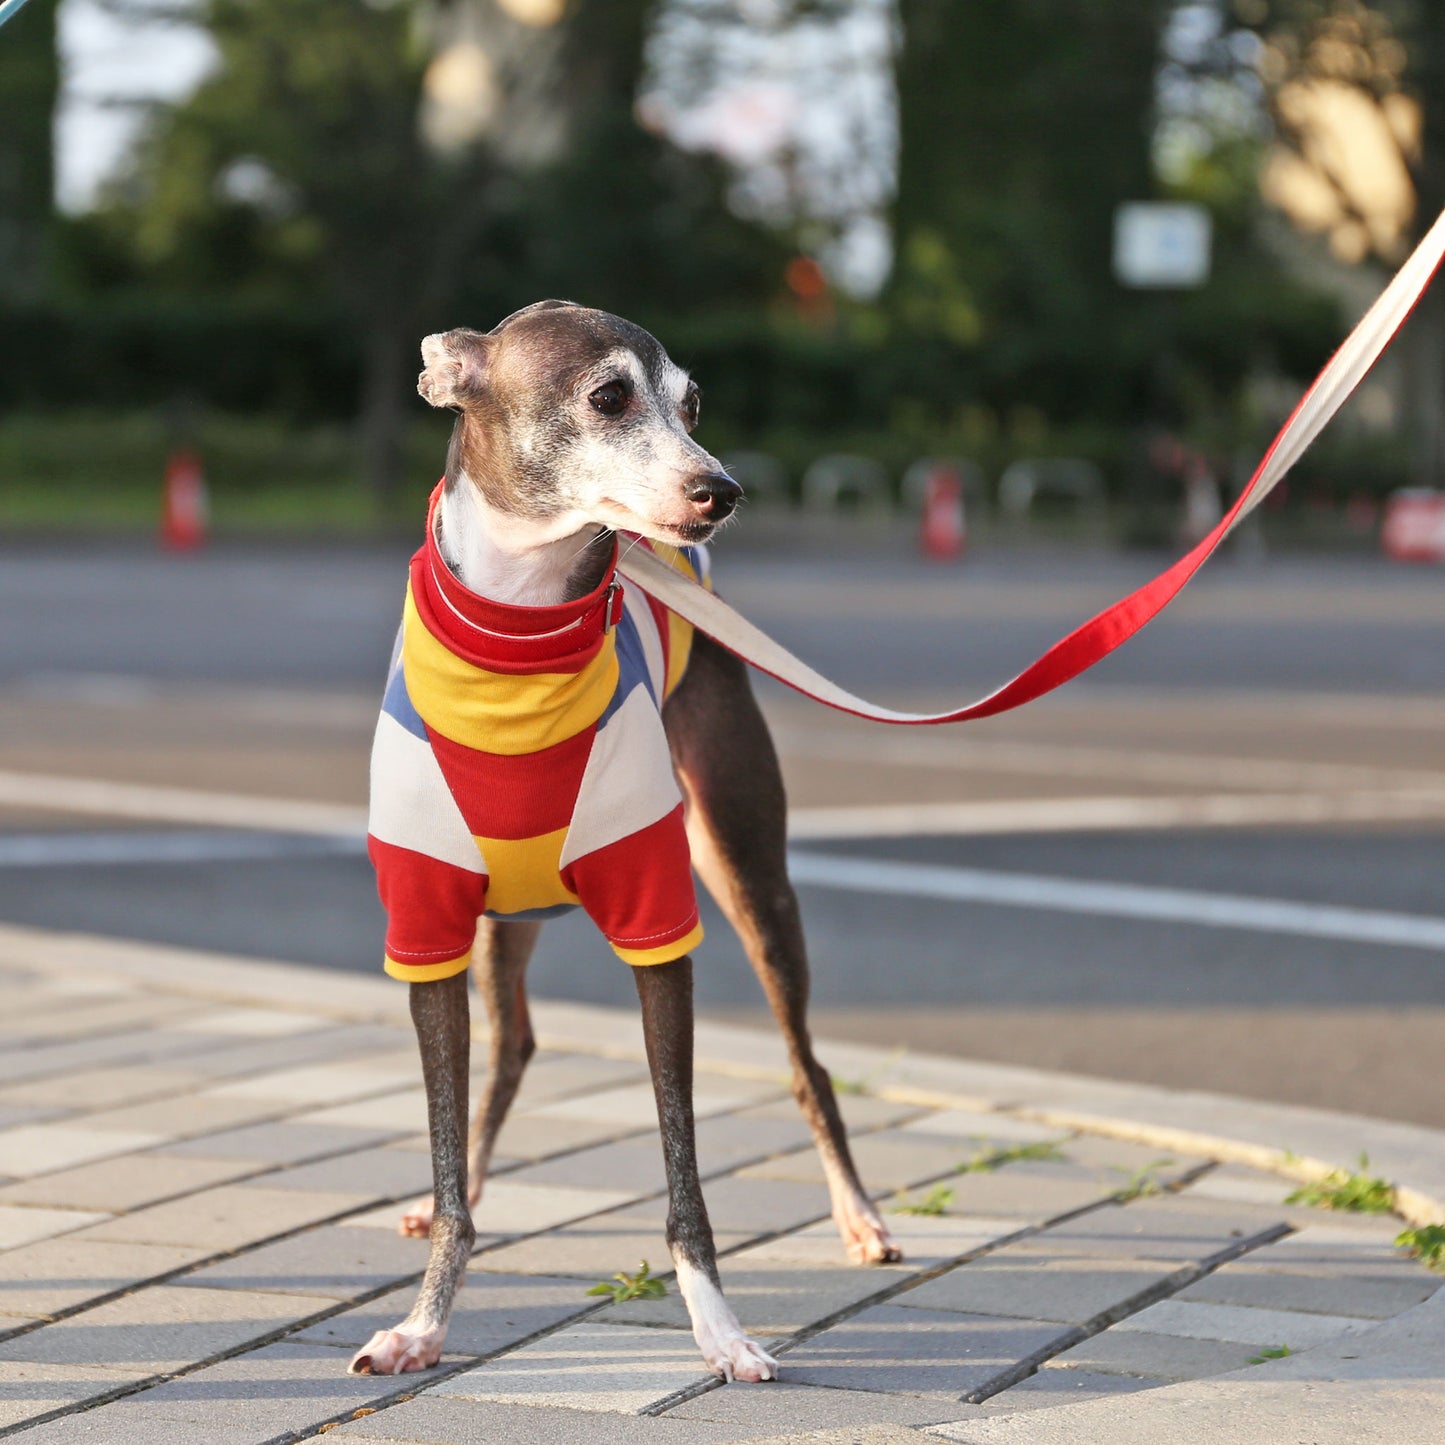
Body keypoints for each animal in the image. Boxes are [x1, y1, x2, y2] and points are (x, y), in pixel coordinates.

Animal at [349, 299, 890, 1381]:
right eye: (607, 396)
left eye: (692, 402)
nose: (720, 489)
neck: (514, 643)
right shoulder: (427, 928)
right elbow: (445, 1131)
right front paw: (422, 1320)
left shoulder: (657, 931)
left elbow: (685, 1174)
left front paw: (719, 1329)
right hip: (502, 918)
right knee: (511, 1044)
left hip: (746, 868)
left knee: (806, 1061)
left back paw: (858, 1214)